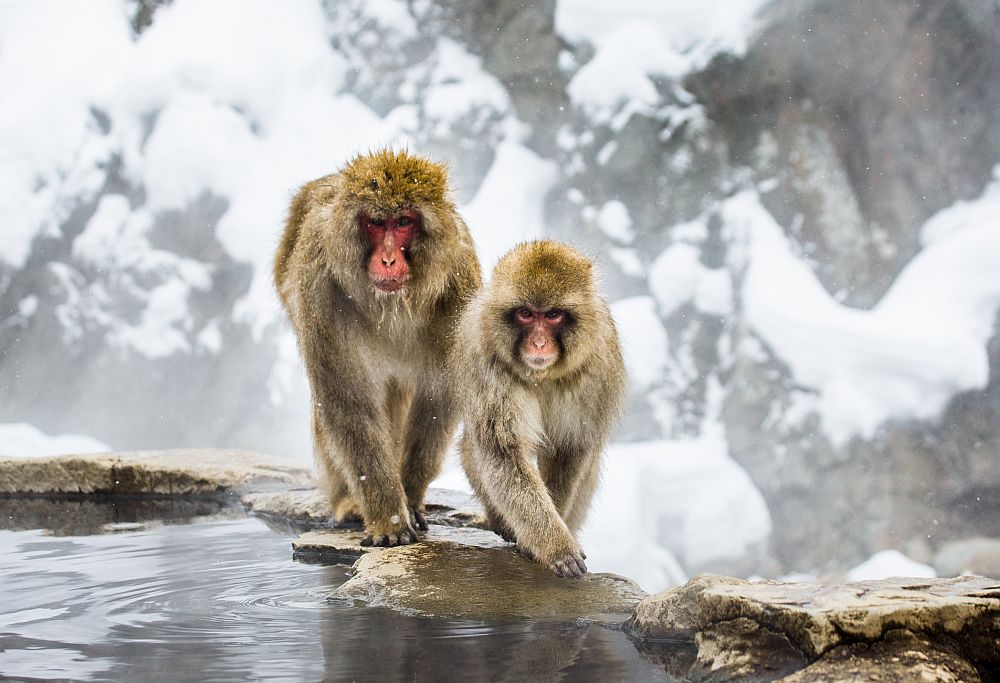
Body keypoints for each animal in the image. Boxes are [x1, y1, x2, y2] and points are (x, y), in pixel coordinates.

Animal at [272, 152, 478, 548]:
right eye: (376, 223)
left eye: (404, 222)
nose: (387, 261)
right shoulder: (320, 288)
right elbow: (349, 401)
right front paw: (389, 517)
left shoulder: (459, 286)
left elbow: (439, 397)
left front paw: (409, 496)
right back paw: (350, 502)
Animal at [452, 240, 624, 576]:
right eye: (526, 314)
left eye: (553, 315)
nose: (540, 344)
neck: (542, 375)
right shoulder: (486, 361)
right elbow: (504, 454)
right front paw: (556, 546)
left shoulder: (597, 367)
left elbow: (571, 449)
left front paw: (556, 539)